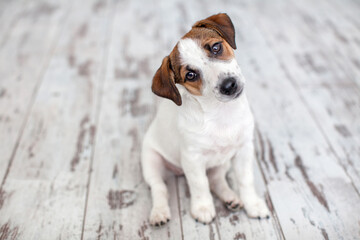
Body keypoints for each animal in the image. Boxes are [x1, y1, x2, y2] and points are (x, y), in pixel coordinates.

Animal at [142, 13, 268, 227]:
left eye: (216, 47)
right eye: (191, 75)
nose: (229, 85)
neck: (221, 113)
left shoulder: (243, 149)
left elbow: (245, 180)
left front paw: (253, 204)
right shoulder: (192, 158)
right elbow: (200, 185)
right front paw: (202, 208)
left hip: (223, 163)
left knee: (217, 180)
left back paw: (231, 198)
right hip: (151, 161)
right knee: (159, 188)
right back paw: (159, 212)